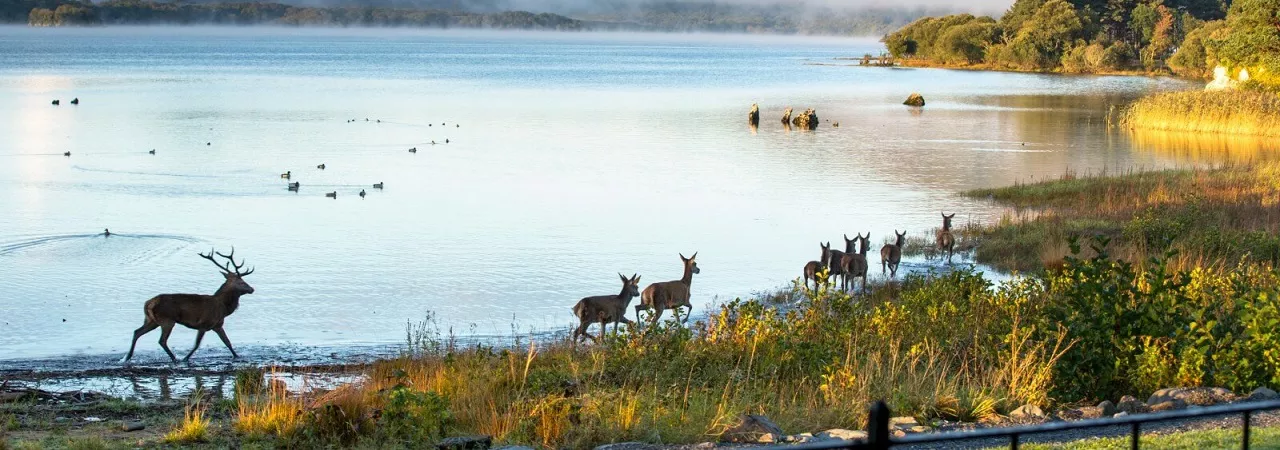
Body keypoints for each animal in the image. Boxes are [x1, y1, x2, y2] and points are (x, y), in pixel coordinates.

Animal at [123, 248, 256, 363]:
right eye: (241, 282)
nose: (252, 289)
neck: (223, 308)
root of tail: (148, 304)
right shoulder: (204, 323)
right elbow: (197, 344)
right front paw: (185, 358)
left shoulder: (217, 325)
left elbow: (227, 342)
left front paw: (237, 356)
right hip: (167, 320)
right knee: (161, 341)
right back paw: (174, 358)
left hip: (151, 320)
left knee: (137, 332)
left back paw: (128, 357)